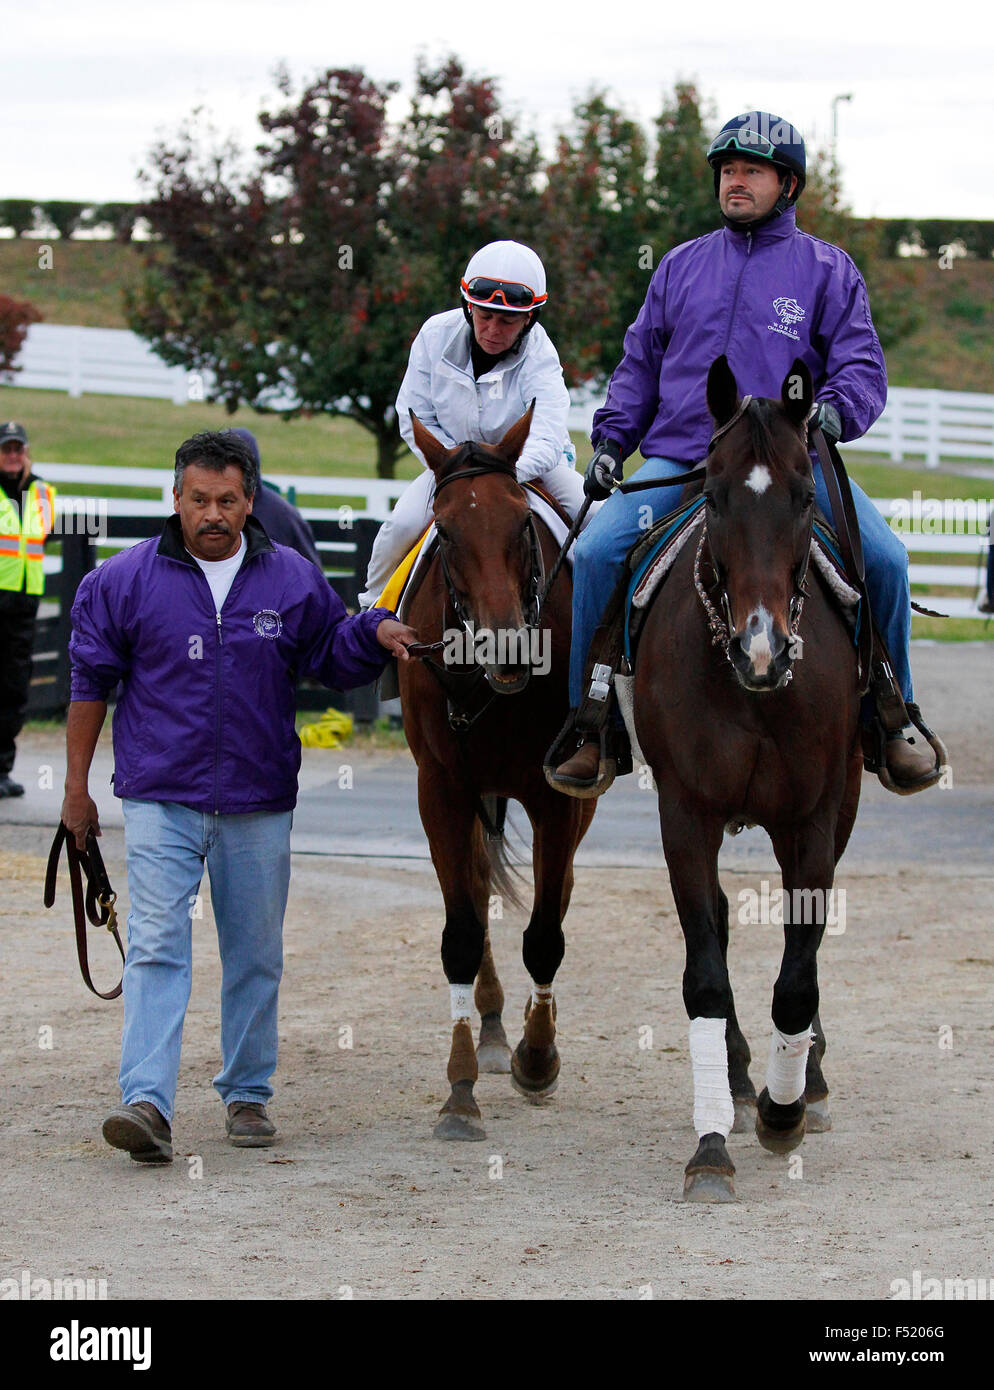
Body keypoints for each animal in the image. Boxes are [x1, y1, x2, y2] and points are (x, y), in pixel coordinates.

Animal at [397, 405, 597, 1139]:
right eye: (447, 530)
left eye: (520, 524)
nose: (506, 646)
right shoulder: (441, 789)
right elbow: (460, 929)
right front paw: (460, 1088)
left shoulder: (556, 796)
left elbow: (545, 934)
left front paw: (538, 1058)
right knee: (480, 884)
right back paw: (486, 1024)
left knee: (556, 892)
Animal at [636, 353, 861, 1200]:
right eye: (713, 493)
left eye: (805, 495)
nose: (759, 648)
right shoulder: (685, 814)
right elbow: (705, 970)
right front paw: (711, 1143)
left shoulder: (815, 818)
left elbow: (799, 972)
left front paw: (784, 1108)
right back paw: (736, 1077)